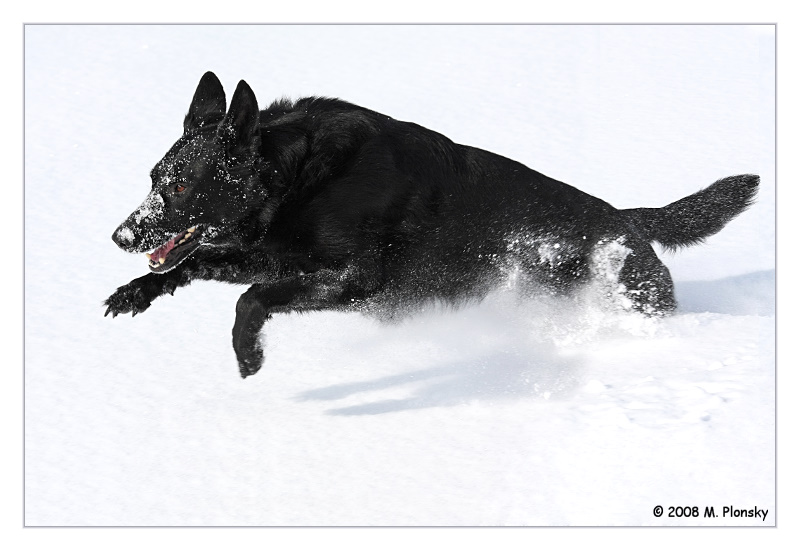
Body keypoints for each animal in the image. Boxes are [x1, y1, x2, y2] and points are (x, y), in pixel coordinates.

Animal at [103, 72, 760, 380]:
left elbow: (248, 299)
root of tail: (627, 221)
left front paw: (249, 355)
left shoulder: (353, 277)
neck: (298, 177)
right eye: (152, 177)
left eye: (180, 187)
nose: (121, 237)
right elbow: (195, 264)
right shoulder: (275, 254)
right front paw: (134, 294)